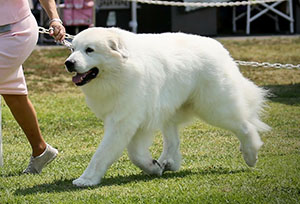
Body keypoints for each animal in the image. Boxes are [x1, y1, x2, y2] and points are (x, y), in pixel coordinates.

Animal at [63, 27, 270, 186]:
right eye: (72, 49)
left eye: (89, 50)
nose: (68, 63)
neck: (121, 68)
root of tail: (220, 48)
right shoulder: (138, 121)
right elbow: (136, 154)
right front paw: (153, 167)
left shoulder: (123, 121)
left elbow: (103, 153)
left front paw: (87, 179)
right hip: (170, 109)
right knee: (173, 141)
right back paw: (167, 162)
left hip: (214, 107)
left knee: (245, 126)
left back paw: (251, 155)